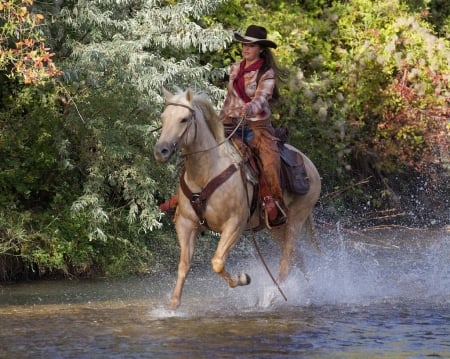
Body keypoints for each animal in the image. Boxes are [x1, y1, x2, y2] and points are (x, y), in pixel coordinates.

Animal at [154, 88, 320, 310]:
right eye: (163, 117)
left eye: (184, 119)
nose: (161, 151)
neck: (206, 173)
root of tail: (310, 165)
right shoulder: (186, 224)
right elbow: (184, 265)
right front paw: (172, 305)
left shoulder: (234, 225)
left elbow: (217, 262)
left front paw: (243, 279)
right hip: (276, 227)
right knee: (297, 257)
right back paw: (308, 291)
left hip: (296, 220)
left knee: (286, 262)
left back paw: (272, 297)